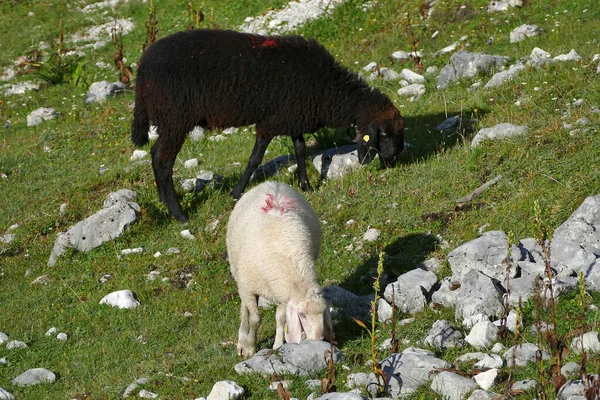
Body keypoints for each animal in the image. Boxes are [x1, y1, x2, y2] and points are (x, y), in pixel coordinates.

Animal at [131, 28, 404, 222]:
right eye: (382, 134)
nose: (393, 160)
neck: (327, 89)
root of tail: (142, 70)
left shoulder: (293, 116)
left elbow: (300, 150)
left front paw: (306, 186)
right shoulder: (270, 122)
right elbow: (255, 158)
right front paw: (237, 192)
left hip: (169, 121)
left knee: (155, 155)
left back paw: (164, 203)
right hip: (176, 117)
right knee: (164, 161)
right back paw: (179, 215)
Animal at [227, 180, 336, 356]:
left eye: (323, 312)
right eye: (302, 314)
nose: (318, 339)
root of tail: (271, 182)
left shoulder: (283, 292)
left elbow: (281, 318)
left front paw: (278, 345)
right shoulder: (249, 287)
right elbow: (255, 319)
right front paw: (250, 346)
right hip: (238, 273)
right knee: (244, 309)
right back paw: (242, 340)